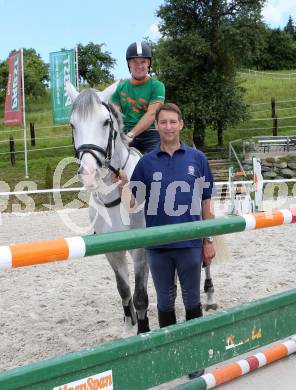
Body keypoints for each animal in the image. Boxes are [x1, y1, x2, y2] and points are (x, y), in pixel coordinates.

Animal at [67, 80, 150, 334]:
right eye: (72, 124)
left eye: (105, 122)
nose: (88, 172)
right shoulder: (112, 252)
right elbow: (124, 291)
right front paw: (129, 326)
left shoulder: (141, 250)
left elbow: (140, 296)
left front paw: (144, 330)